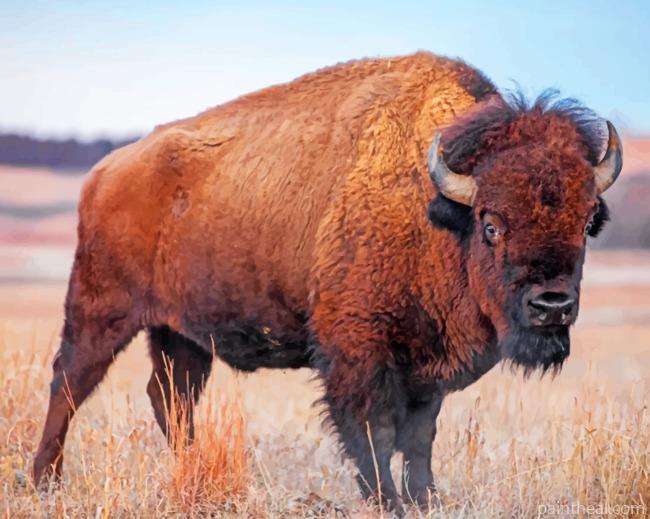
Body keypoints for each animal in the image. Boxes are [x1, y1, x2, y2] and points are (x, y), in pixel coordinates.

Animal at [34, 52, 622, 512]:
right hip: (101, 309)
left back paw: (191, 470)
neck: (435, 211)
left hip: (180, 334)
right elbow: (374, 432)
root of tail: (105, 171)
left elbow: (421, 436)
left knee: (171, 398)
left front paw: (427, 498)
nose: (551, 305)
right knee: (70, 382)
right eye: (492, 223)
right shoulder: (358, 352)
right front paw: (387, 501)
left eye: (586, 221)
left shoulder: (425, 366)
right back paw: (44, 481)